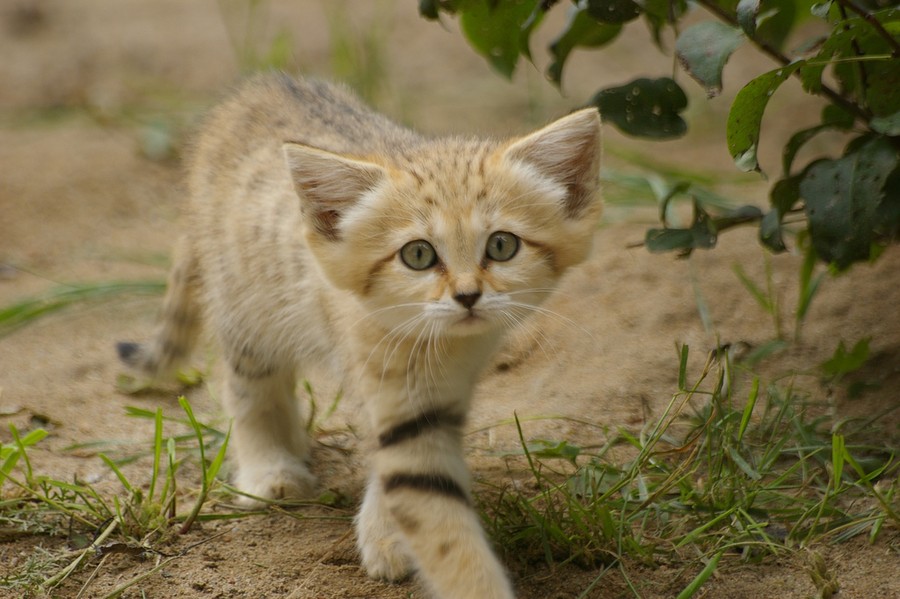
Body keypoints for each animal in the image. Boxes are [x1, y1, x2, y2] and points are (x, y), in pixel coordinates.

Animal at [118, 75, 596, 599]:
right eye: (418, 255)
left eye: (502, 245)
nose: (468, 296)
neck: (439, 345)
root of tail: (258, 88)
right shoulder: (394, 392)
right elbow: (436, 518)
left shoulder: (441, 398)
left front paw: (385, 534)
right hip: (244, 308)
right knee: (249, 388)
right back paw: (270, 468)